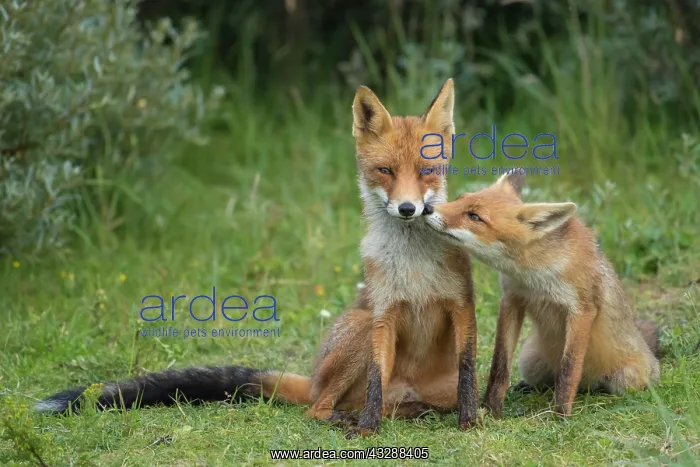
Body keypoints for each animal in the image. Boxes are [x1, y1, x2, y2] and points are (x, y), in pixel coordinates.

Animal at [36, 78, 479, 434]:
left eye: (426, 171)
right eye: (385, 171)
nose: (407, 209)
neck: (414, 263)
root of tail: (311, 378)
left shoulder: (461, 305)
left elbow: (467, 372)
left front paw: (471, 419)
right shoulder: (384, 314)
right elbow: (373, 384)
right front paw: (368, 430)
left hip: (421, 382)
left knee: (397, 403)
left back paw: (412, 412)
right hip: (359, 327)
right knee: (319, 408)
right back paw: (348, 418)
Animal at [422, 170, 661, 417]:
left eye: (474, 216)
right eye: (460, 198)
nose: (427, 208)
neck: (534, 277)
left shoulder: (582, 309)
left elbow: (568, 369)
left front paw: (561, 415)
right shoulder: (511, 300)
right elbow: (499, 365)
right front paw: (490, 409)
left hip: (626, 380)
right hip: (530, 361)